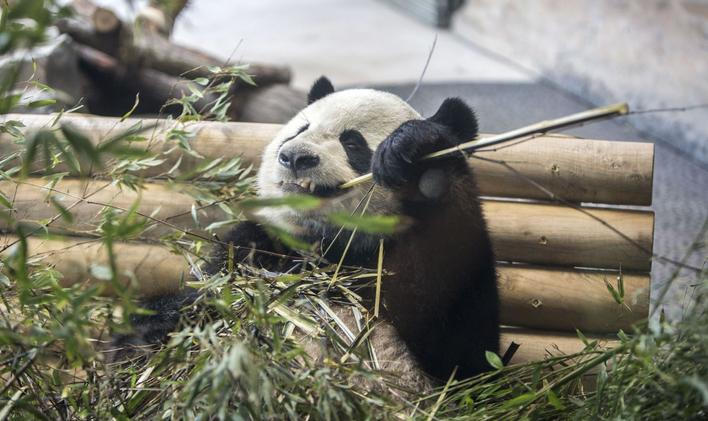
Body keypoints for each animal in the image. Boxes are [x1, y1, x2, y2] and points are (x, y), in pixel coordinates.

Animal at [111, 76, 500, 387]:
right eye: (300, 129)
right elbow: (178, 309)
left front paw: (410, 148)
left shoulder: (429, 270)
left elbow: (461, 347)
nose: (295, 157)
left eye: (353, 143)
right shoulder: (256, 246)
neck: (325, 243)